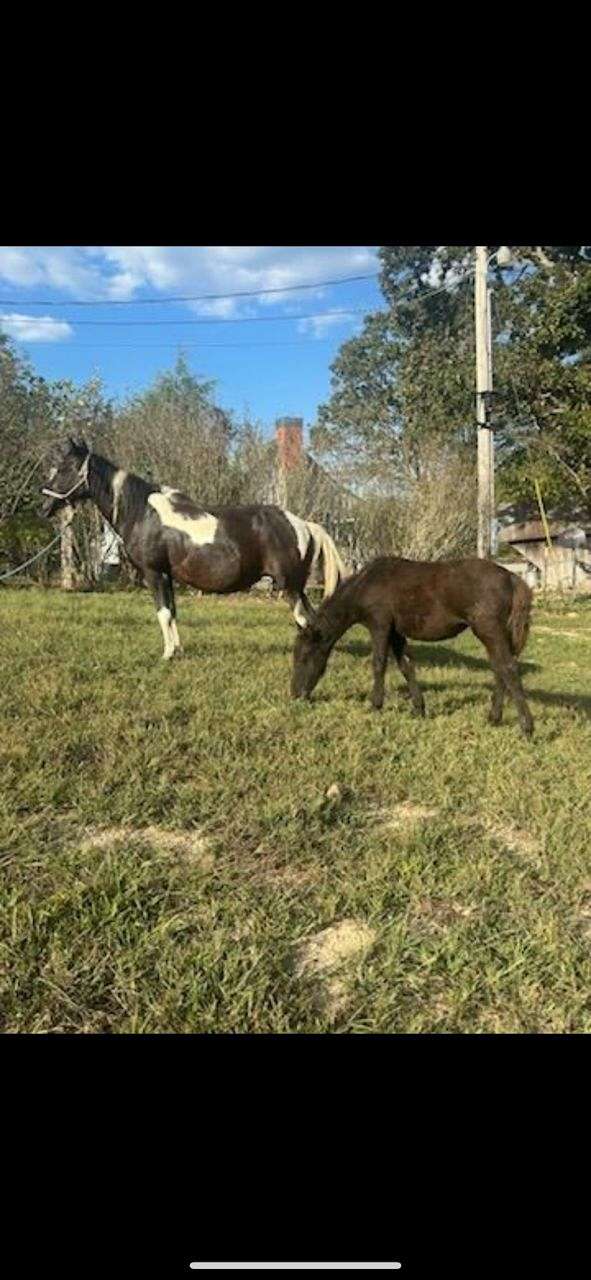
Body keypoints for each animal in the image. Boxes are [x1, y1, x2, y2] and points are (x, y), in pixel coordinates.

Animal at [40, 438, 348, 658]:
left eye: (65, 469)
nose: (44, 506)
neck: (143, 512)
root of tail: (304, 524)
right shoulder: (167, 576)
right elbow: (172, 612)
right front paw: (177, 650)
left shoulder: (153, 573)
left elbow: (163, 613)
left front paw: (166, 655)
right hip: (297, 588)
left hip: (291, 587)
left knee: (305, 620)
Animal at [291, 555, 535, 737]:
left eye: (303, 656)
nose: (295, 694)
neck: (367, 584)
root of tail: (512, 578)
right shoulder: (396, 633)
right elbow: (406, 666)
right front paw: (419, 708)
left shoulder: (380, 625)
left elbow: (379, 663)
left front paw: (375, 704)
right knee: (500, 669)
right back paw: (494, 718)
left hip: (489, 631)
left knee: (508, 668)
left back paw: (527, 727)